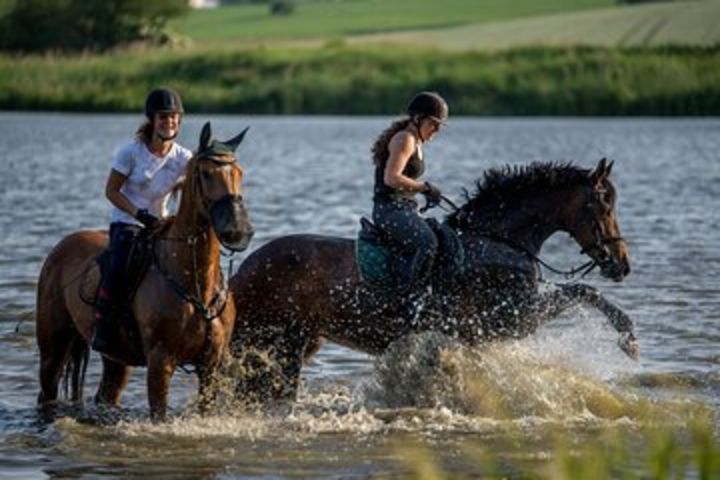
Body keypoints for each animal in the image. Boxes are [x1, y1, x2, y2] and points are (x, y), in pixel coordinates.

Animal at [38, 123, 256, 420]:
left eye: (240, 173)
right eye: (206, 173)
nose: (238, 231)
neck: (194, 281)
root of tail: (61, 247)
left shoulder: (210, 366)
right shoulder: (160, 363)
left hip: (116, 359)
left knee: (105, 394)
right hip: (53, 349)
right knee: (47, 392)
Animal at [229, 159, 636, 404]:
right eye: (604, 204)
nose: (622, 265)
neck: (496, 241)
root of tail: (243, 269)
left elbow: (582, 291)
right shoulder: (511, 318)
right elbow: (583, 290)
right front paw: (629, 338)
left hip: (293, 341)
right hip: (278, 340)